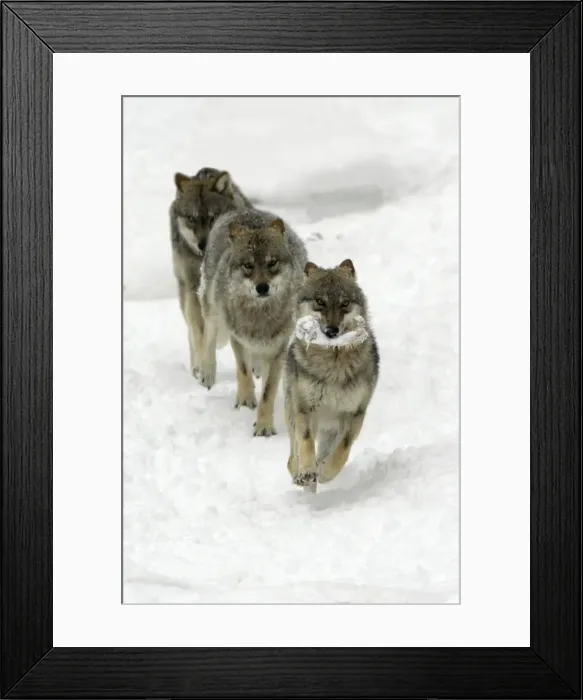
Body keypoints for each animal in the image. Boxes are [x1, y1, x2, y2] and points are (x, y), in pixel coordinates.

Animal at [170, 168, 252, 376]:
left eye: (214, 217)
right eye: (191, 219)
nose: (203, 244)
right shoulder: (193, 290)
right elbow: (200, 332)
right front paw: (202, 366)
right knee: (192, 333)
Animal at [199, 209, 308, 437]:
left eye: (271, 263)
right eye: (248, 265)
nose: (262, 287)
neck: (260, 317)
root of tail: (241, 211)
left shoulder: (278, 349)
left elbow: (268, 392)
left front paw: (264, 427)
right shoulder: (237, 338)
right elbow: (243, 372)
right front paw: (245, 402)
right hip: (213, 311)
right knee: (209, 338)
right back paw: (207, 374)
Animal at [284, 259, 380, 486]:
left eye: (344, 303)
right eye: (320, 301)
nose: (331, 331)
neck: (333, 365)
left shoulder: (354, 414)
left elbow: (342, 451)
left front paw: (326, 473)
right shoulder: (305, 409)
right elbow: (306, 442)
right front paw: (307, 472)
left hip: (330, 429)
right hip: (294, 413)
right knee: (291, 459)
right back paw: (300, 475)